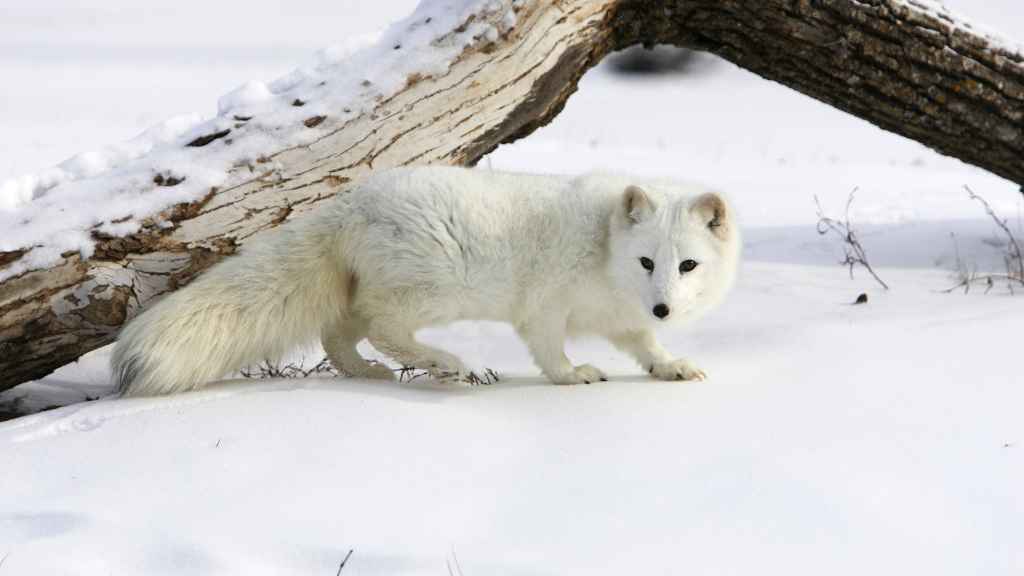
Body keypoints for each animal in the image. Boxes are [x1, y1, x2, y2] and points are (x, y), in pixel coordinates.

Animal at [112, 163, 741, 391]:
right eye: (647, 262)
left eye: (687, 265)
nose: (664, 307)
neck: (604, 250)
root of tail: (350, 201)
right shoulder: (544, 308)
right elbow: (549, 351)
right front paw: (573, 376)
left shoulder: (619, 317)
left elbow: (644, 345)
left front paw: (671, 366)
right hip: (434, 289)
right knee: (380, 326)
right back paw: (446, 365)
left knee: (338, 333)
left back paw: (365, 373)